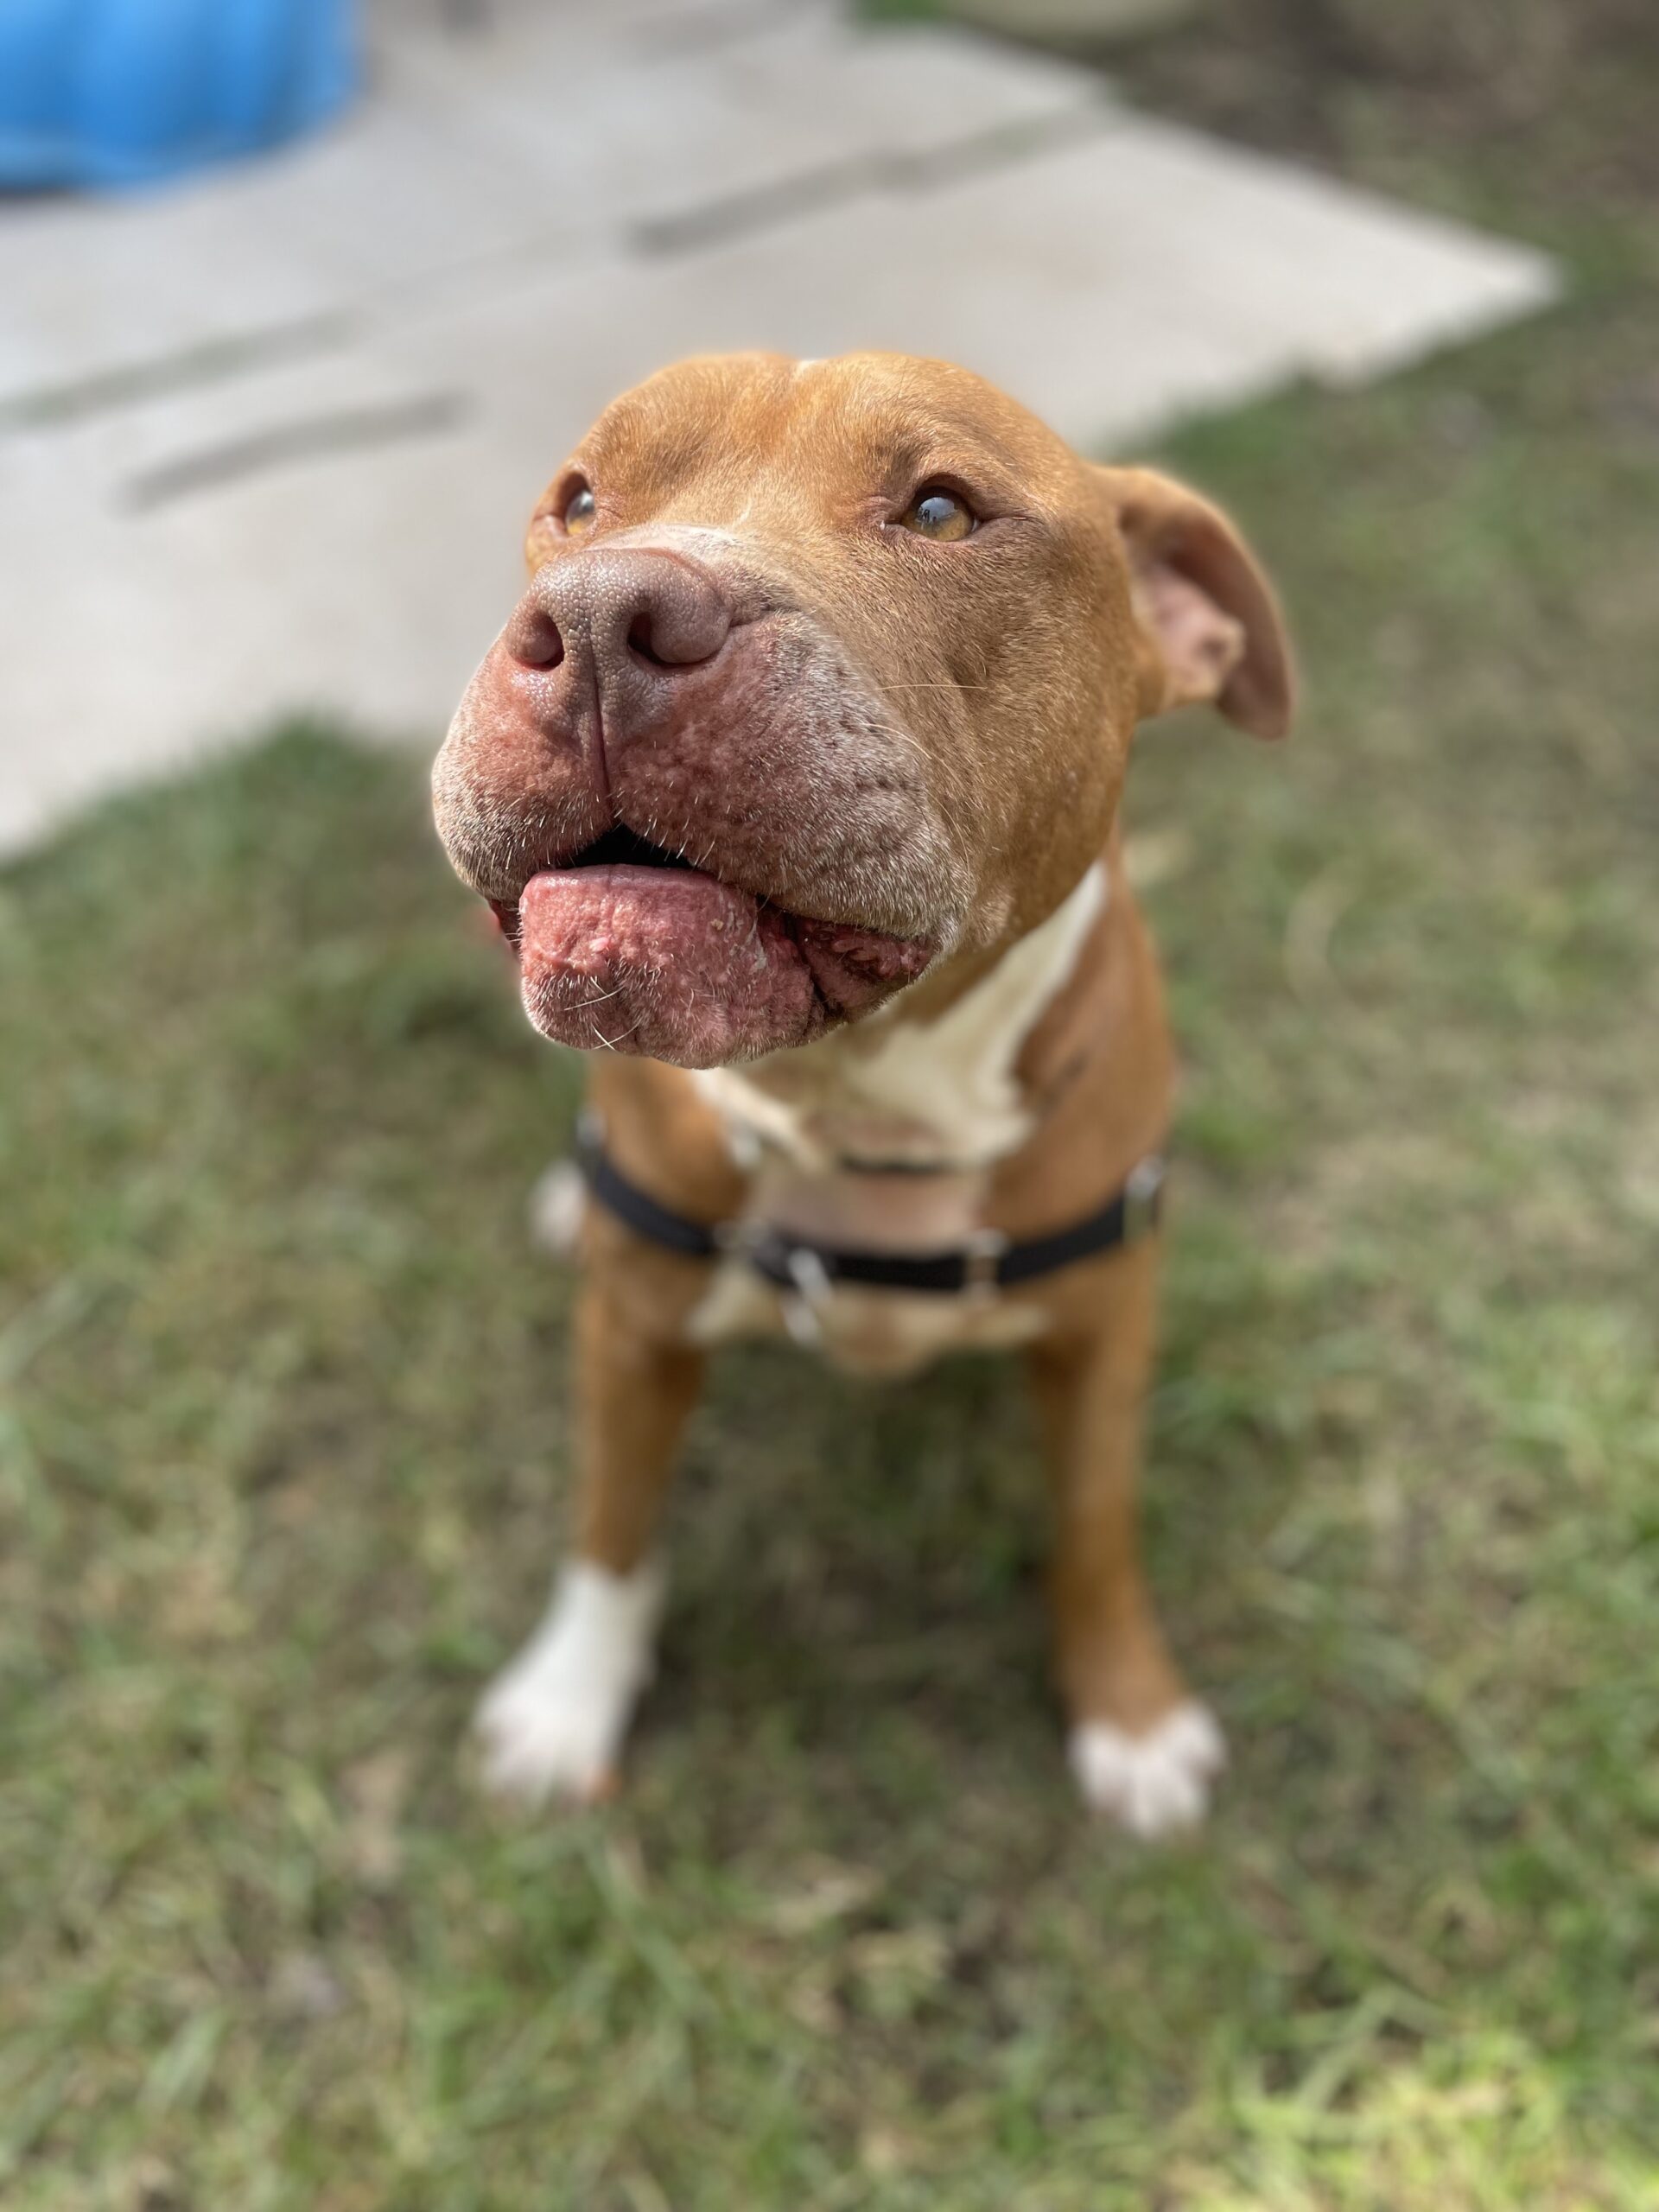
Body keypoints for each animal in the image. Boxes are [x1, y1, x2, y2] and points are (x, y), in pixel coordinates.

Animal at [432, 351, 1292, 1836]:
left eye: (942, 511)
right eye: (581, 500)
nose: (599, 617)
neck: (860, 1106)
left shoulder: (1104, 1333)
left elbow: (1095, 1525)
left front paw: (1129, 1712)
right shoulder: (632, 1332)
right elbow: (612, 1524)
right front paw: (568, 1701)